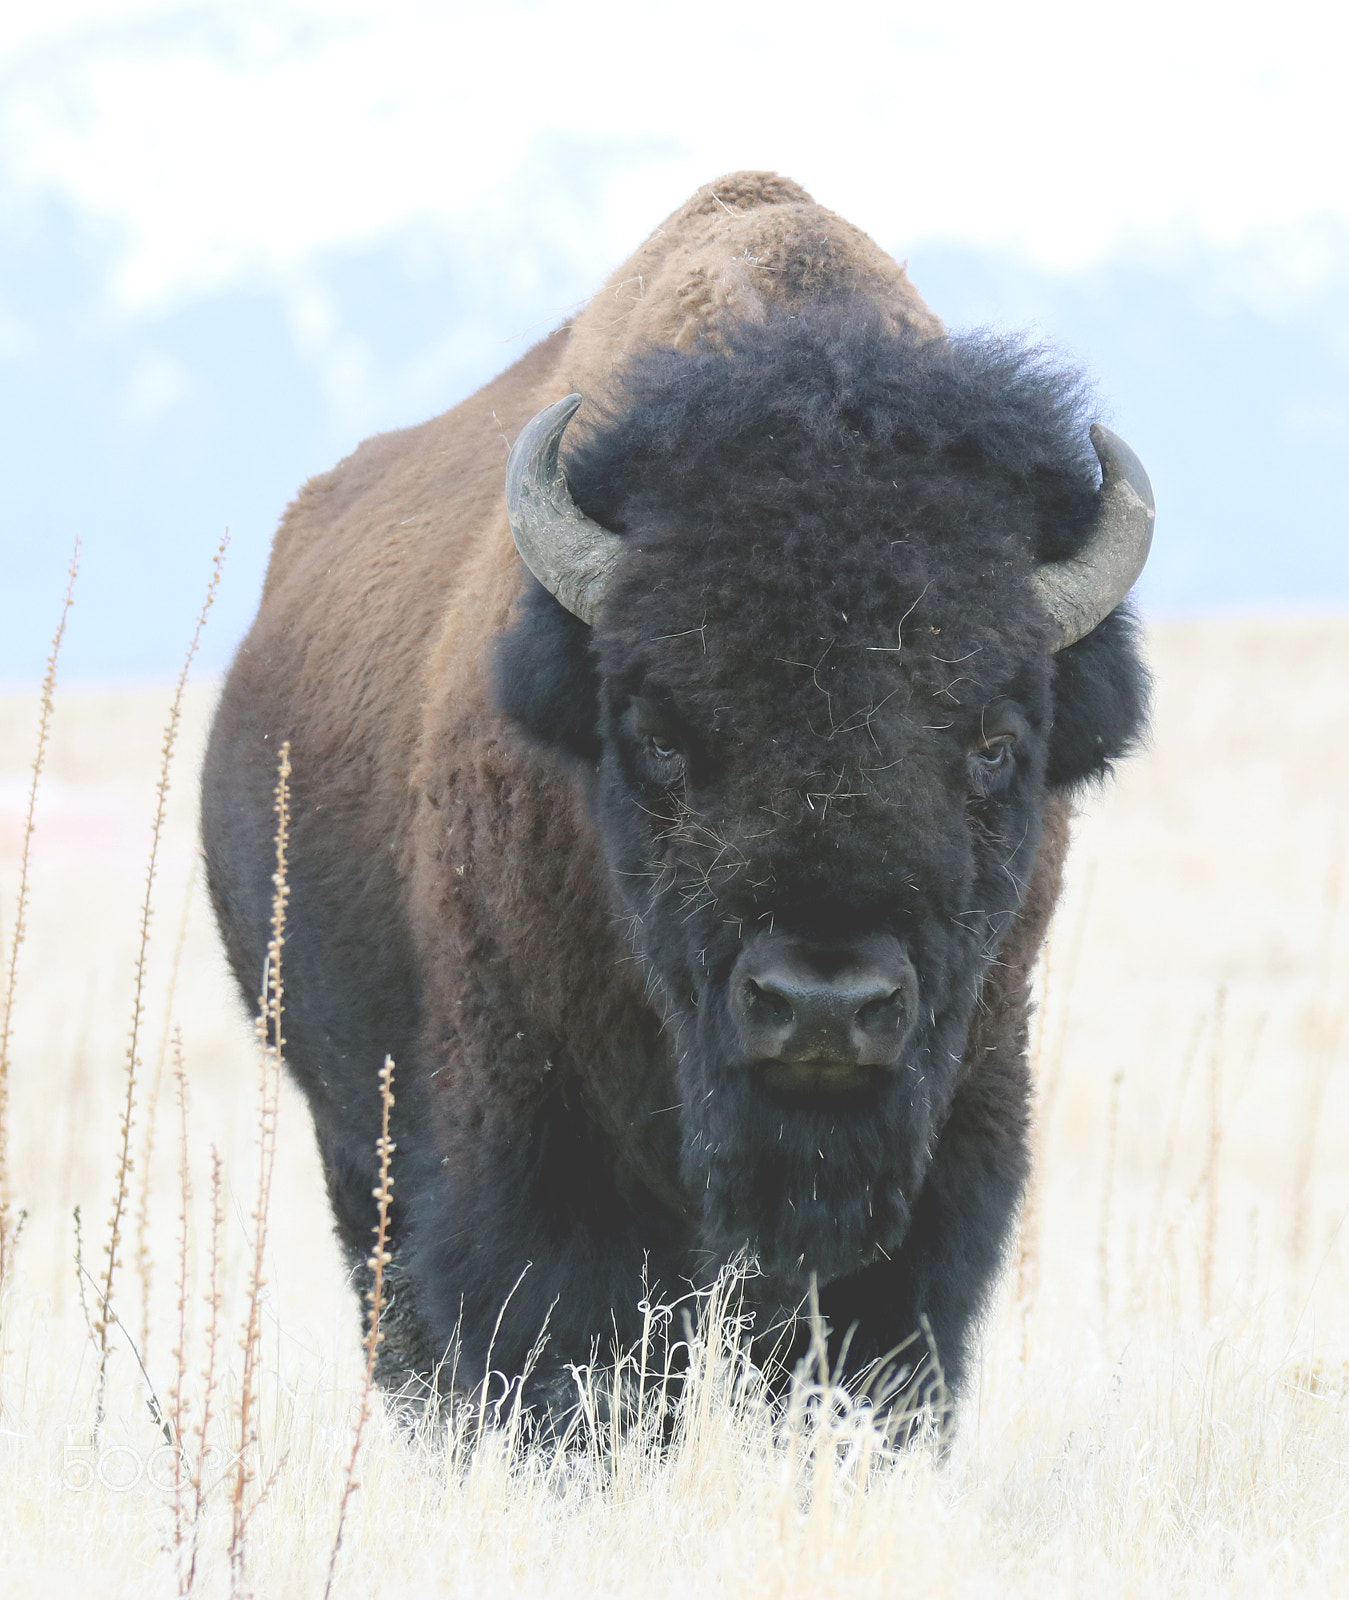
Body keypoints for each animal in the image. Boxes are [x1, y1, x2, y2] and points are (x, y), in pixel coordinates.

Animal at [200, 172, 1152, 1427]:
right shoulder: (536, 1150)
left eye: (994, 742)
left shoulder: (959, 1136)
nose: (821, 1005)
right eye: (657, 737)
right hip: (352, 1139)